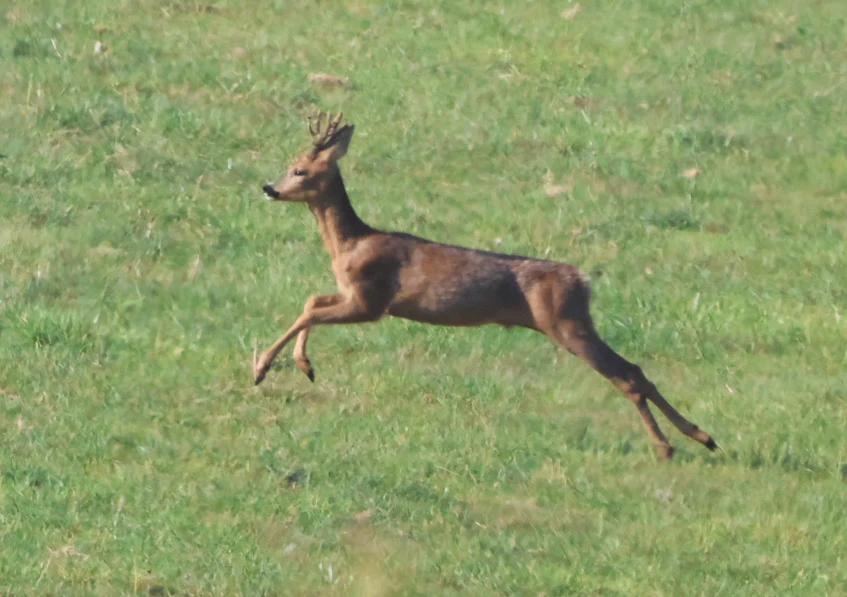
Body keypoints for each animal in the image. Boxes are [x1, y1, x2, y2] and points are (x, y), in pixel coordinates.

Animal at [254, 112, 717, 460]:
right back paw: (702, 436)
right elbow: (312, 300)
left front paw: (262, 368)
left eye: (299, 169)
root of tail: (581, 279)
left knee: (625, 376)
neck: (349, 243)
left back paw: (668, 447)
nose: (268, 187)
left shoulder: (372, 299)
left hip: (565, 322)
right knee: (635, 369)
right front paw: (303, 365)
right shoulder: (354, 295)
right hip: (574, 321)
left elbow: (310, 311)